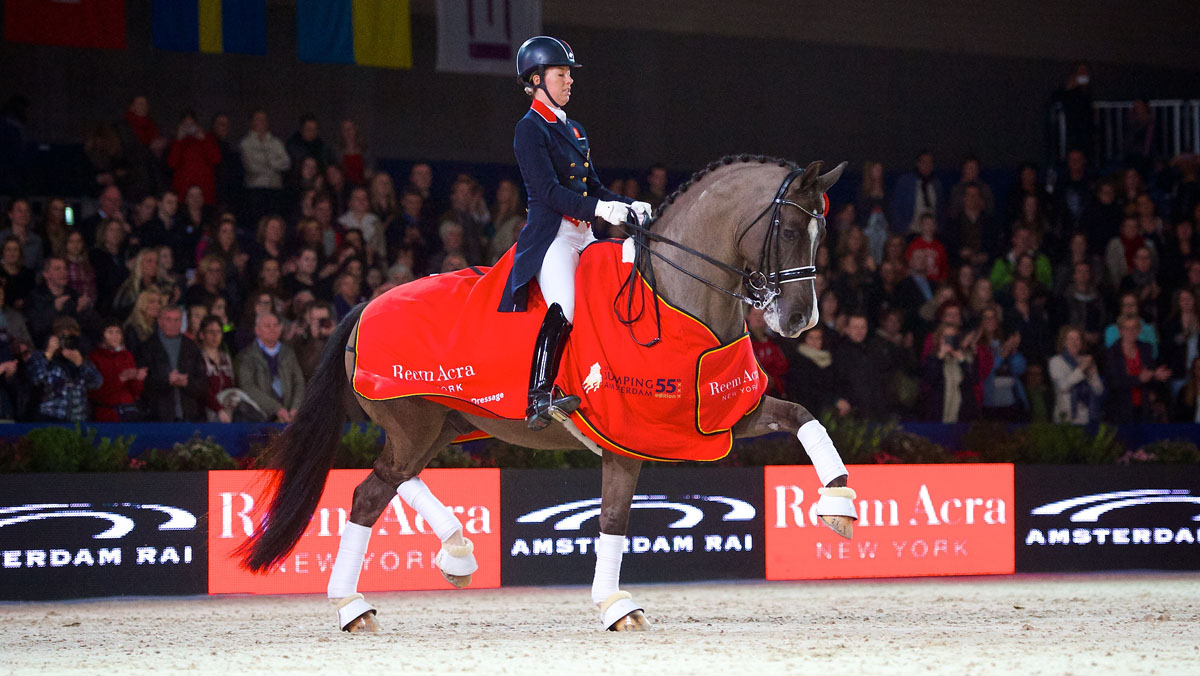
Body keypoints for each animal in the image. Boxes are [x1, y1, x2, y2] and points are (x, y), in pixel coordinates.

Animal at [238, 154, 854, 633]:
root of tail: (366, 305)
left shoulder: (722, 410)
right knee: (371, 492)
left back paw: (453, 552)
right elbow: (613, 517)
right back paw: (353, 604)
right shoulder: (627, 436)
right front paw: (615, 605)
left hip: (446, 424)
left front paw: (839, 504)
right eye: (791, 231)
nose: (800, 320)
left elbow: (802, 416)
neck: (673, 294)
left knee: (391, 480)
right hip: (415, 424)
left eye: (821, 235)